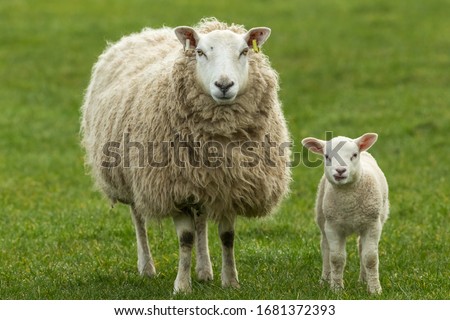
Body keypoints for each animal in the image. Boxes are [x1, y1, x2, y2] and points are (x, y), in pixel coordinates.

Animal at [81, 16, 292, 292]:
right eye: (200, 52)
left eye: (244, 51)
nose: (224, 85)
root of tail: (146, 32)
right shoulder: (174, 188)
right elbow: (186, 238)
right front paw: (182, 285)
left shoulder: (230, 186)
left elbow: (227, 237)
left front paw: (230, 281)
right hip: (130, 178)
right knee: (139, 218)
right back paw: (147, 267)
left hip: (199, 182)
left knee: (200, 219)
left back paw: (204, 270)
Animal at [300, 133, 388, 296]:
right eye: (327, 156)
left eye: (354, 155)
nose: (340, 171)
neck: (349, 203)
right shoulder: (333, 226)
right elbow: (336, 258)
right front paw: (336, 289)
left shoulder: (372, 225)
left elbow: (370, 258)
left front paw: (375, 290)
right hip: (322, 218)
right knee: (325, 249)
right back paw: (325, 280)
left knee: (361, 248)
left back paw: (363, 280)